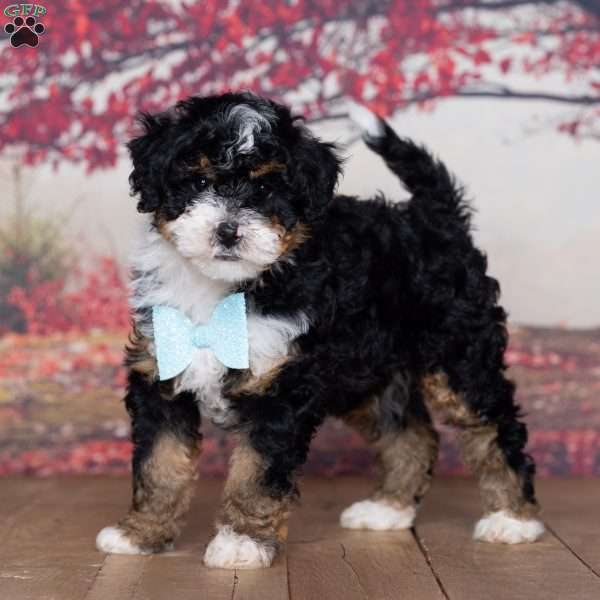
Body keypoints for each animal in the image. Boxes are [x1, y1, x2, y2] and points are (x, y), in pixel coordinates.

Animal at [96, 91, 548, 568]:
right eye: (199, 181)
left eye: (265, 189)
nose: (228, 231)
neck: (223, 291)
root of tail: (435, 219)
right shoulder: (160, 376)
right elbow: (159, 464)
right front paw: (140, 533)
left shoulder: (279, 388)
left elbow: (256, 473)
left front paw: (240, 542)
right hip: (368, 375)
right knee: (410, 434)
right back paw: (388, 509)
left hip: (459, 355)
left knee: (494, 427)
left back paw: (513, 518)